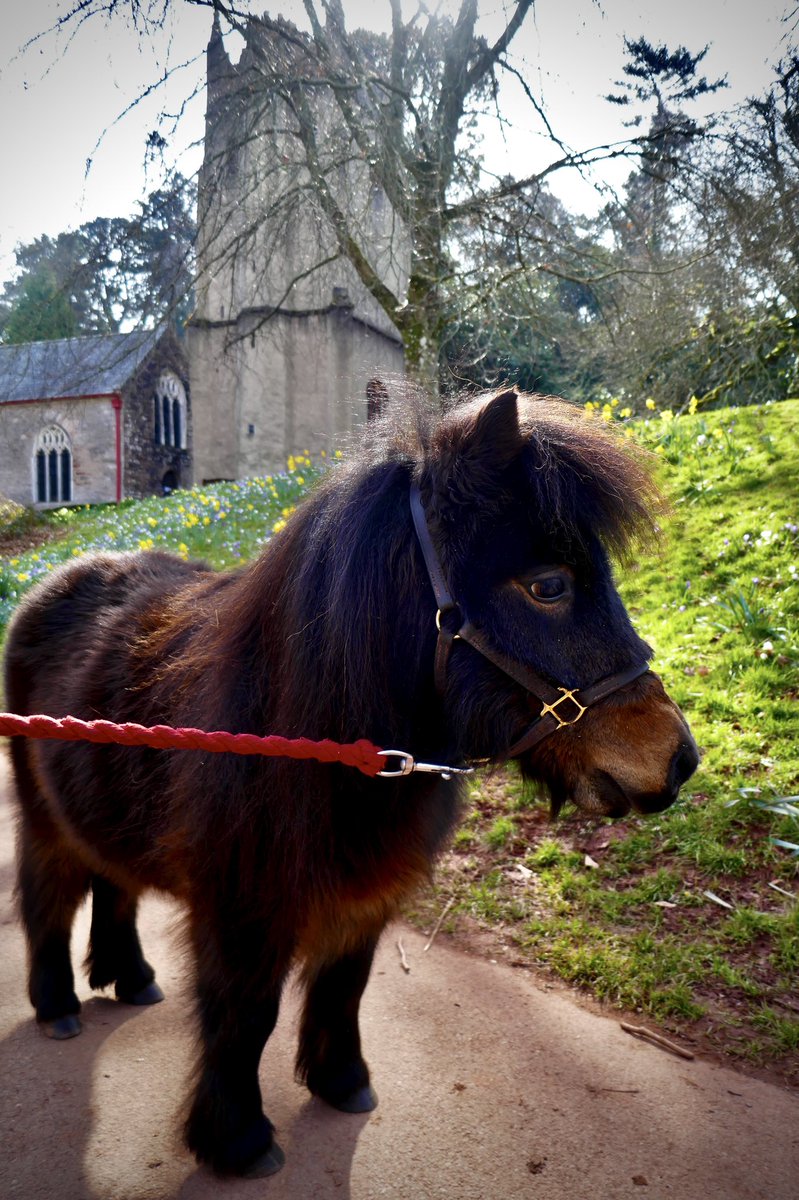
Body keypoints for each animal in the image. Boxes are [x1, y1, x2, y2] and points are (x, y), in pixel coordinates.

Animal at [4, 388, 699, 1177]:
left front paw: (341, 1081)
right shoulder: (242, 906)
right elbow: (246, 1012)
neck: (316, 734)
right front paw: (237, 1138)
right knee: (48, 896)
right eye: (547, 585)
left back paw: (129, 976)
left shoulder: (364, 893)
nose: (677, 757)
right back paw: (58, 1004)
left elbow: (343, 986)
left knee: (114, 884)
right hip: (43, 817)